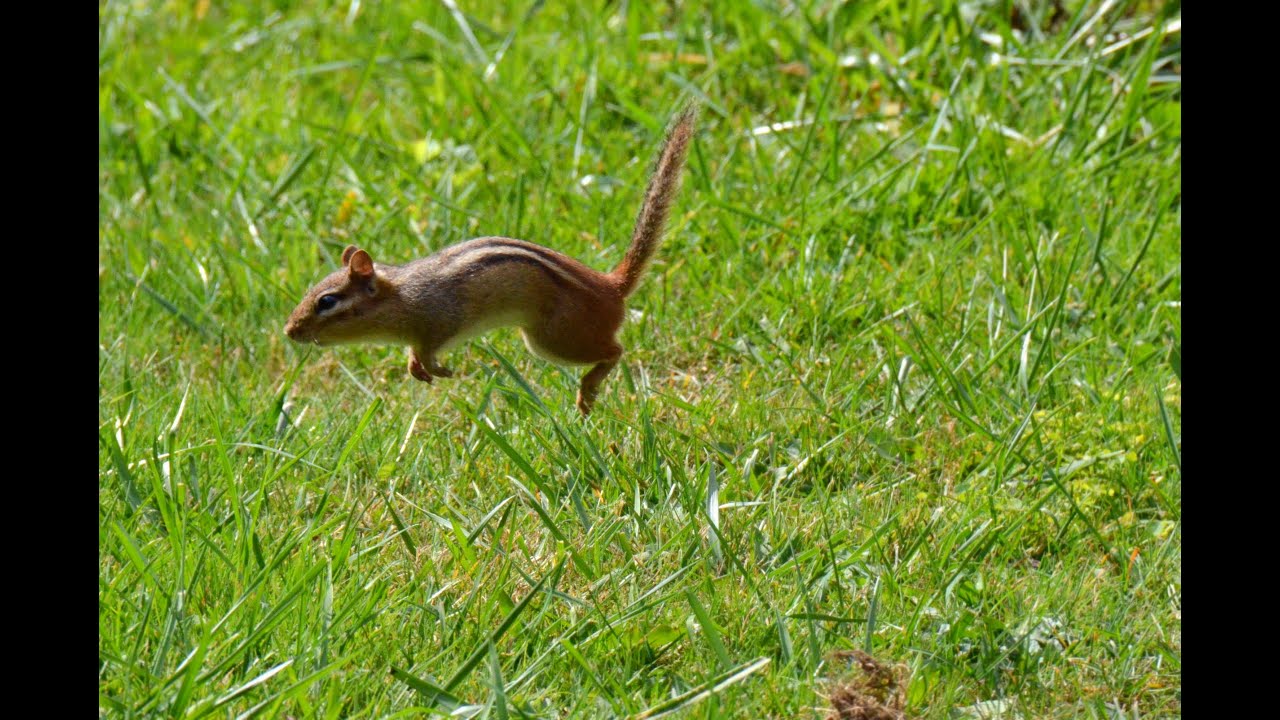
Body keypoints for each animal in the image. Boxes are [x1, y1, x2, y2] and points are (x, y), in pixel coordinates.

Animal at [285, 105, 697, 415]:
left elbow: (430, 349)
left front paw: (437, 369)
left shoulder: (440, 320)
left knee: (615, 351)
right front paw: (416, 368)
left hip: (556, 340)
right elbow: (414, 355)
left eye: (327, 301)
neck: (402, 295)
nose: (290, 331)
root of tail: (610, 286)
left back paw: (588, 389)